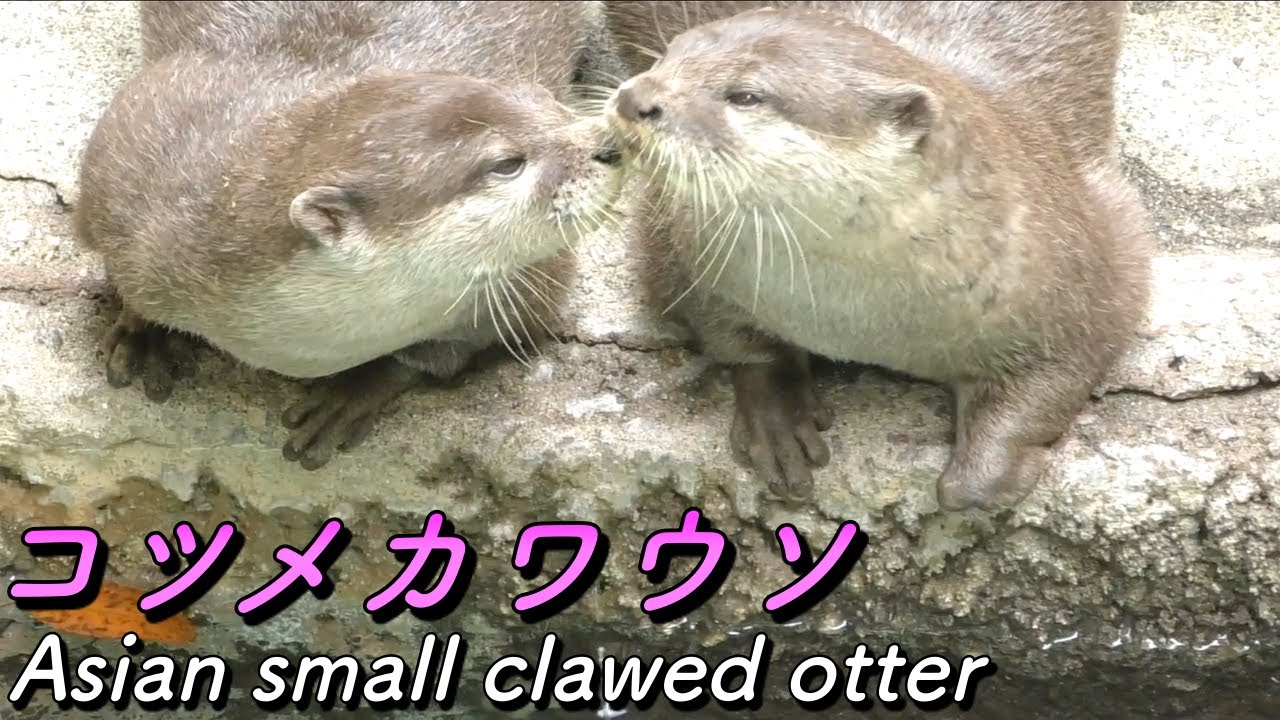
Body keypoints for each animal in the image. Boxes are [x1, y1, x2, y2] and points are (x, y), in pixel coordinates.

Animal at [76, 1, 623, 469]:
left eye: (548, 101)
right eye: (507, 162)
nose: (612, 144)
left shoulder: (527, 289)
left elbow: (441, 355)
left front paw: (355, 390)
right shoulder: (143, 152)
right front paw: (144, 331)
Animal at [602, 3, 1153, 511]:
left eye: (746, 95)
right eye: (670, 54)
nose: (634, 98)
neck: (856, 318)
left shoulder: (1084, 272)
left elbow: (1059, 376)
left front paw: (988, 473)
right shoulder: (679, 248)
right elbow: (739, 344)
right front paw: (779, 422)